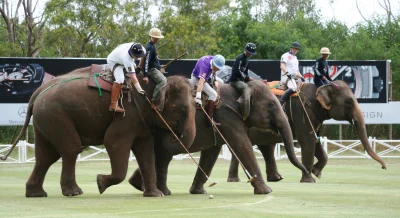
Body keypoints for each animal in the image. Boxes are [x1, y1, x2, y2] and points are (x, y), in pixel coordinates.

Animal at [2, 66, 197, 198]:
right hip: (55, 115)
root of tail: (37, 92)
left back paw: (36, 194)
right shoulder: (128, 113)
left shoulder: (142, 119)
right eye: (181, 110)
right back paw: (74, 192)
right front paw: (100, 183)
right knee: (71, 149)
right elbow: (113, 141)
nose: (174, 136)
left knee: (46, 156)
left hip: (46, 119)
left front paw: (155, 195)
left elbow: (146, 152)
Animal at [128, 79, 310, 194]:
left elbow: (212, 153)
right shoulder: (227, 117)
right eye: (271, 105)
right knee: (162, 155)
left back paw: (142, 186)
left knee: (162, 157)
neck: (241, 88)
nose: (308, 172)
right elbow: (242, 145)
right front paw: (267, 191)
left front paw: (198, 192)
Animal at [228, 81, 388, 183]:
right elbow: (308, 141)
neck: (321, 86)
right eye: (348, 101)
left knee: (266, 148)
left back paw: (275, 178)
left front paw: (317, 173)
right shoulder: (303, 112)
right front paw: (309, 179)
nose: (384, 167)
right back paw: (236, 180)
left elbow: (316, 142)